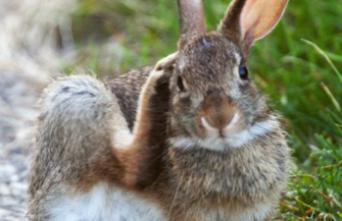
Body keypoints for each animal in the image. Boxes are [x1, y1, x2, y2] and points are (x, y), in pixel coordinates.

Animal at [27, 0, 292, 220]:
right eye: (181, 83)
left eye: (243, 72)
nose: (219, 118)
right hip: (78, 100)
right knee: (132, 169)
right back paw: (158, 78)